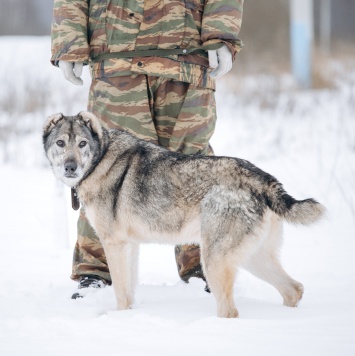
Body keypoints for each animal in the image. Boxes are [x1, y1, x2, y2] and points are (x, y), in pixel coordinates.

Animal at [41, 111, 326, 318]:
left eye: (82, 144)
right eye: (60, 143)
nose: (70, 167)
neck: (100, 160)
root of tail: (263, 177)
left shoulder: (114, 244)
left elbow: (121, 293)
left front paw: (118, 321)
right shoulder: (129, 246)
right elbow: (129, 292)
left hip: (214, 260)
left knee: (231, 311)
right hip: (253, 258)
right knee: (294, 289)